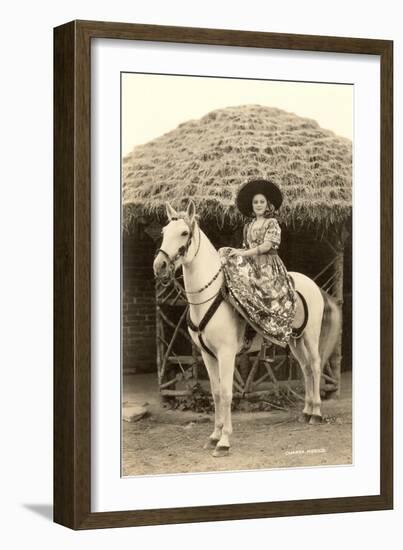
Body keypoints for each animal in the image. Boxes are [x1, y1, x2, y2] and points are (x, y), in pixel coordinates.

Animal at [153, 201, 342, 460]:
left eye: (183, 233)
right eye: (163, 232)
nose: (159, 266)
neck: (208, 297)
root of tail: (313, 284)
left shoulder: (226, 354)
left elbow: (226, 393)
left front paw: (224, 442)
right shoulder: (207, 355)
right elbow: (215, 393)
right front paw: (213, 436)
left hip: (311, 337)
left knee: (314, 365)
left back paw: (316, 413)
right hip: (295, 340)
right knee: (305, 370)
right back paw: (306, 411)